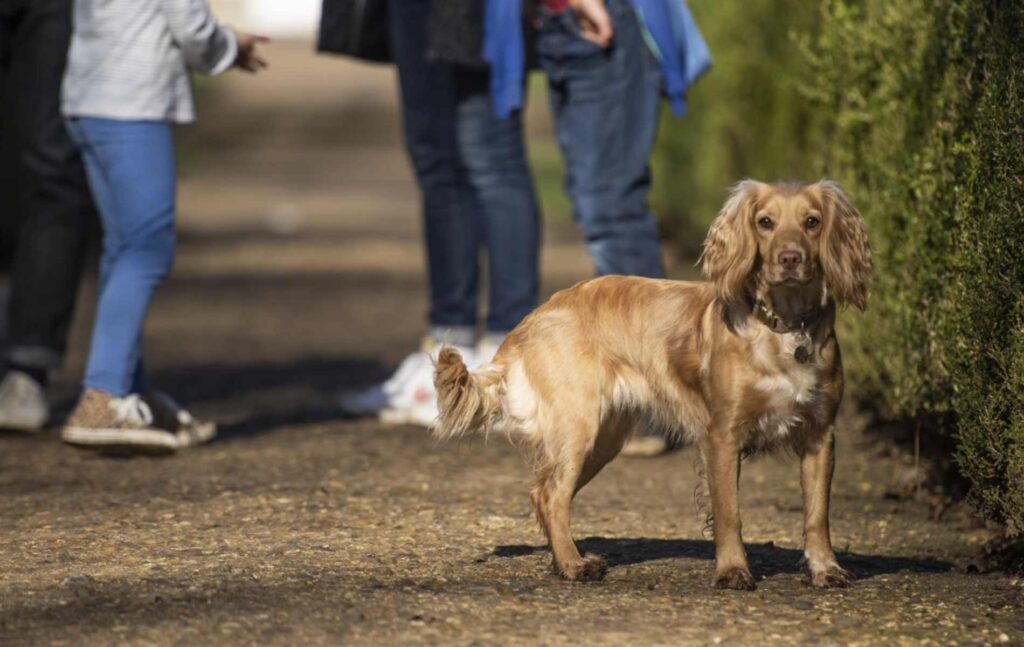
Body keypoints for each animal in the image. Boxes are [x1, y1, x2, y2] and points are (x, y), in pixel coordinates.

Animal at [432, 179, 872, 589]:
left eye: (812, 222)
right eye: (765, 222)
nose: (790, 258)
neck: (785, 327)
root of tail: (528, 323)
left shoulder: (820, 435)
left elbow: (817, 514)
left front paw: (826, 569)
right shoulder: (722, 435)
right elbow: (729, 512)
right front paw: (732, 571)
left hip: (603, 440)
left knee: (545, 491)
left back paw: (564, 560)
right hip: (578, 428)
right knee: (551, 494)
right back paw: (574, 565)